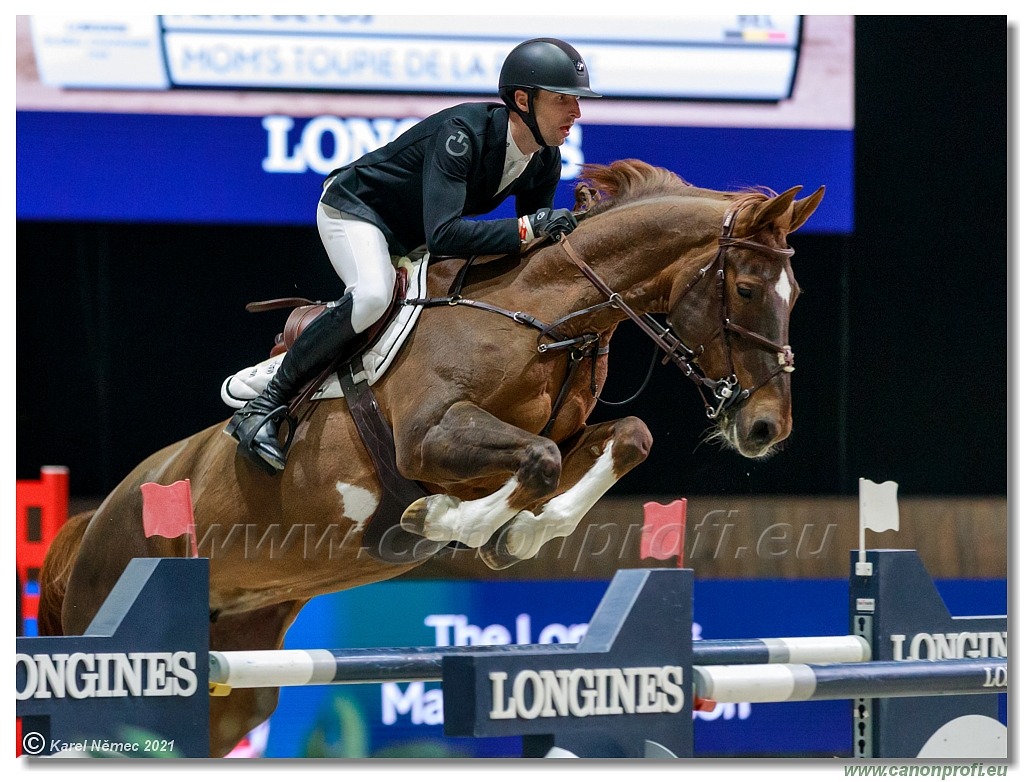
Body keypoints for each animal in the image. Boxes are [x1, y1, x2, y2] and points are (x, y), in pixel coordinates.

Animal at [37, 157, 823, 753]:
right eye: (746, 288)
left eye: (796, 295)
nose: (765, 428)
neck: (547, 313)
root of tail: (89, 525)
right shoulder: (431, 438)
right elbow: (534, 460)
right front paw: (442, 522)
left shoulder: (570, 436)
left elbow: (624, 438)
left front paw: (518, 533)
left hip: (236, 684)